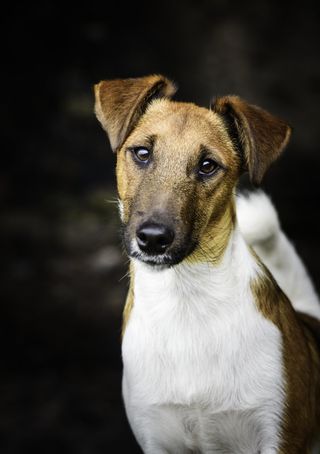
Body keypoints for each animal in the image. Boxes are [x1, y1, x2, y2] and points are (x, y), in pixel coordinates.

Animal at [94, 76, 318, 452]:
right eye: (142, 153)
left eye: (208, 165)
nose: (153, 238)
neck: (187, 302)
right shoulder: (156, 436)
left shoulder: (278, 435)